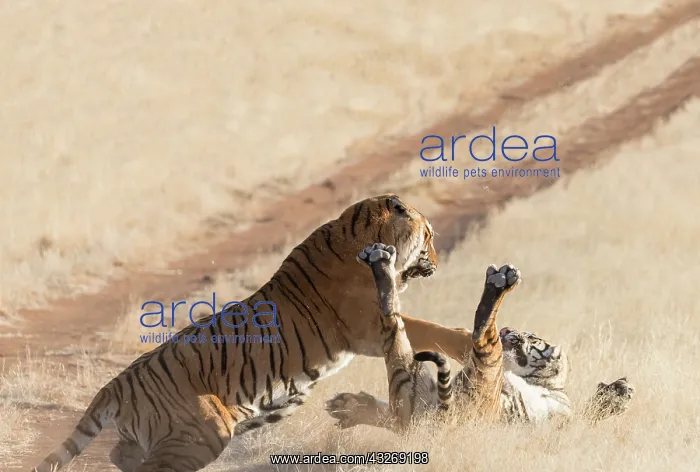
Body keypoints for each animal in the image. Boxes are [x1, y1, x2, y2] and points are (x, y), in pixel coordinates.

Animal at [33, 195, 482, 472]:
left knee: (120, 452)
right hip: (204, 433)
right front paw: (469, 341)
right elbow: (427, 328)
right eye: (429, 238)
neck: (358, 230)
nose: (437, 261)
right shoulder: (368, 326)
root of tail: (115, 384)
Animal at [325, 243, 635, 432]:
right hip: (409, 383)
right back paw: (380, 262)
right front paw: (352, 407)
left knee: (482, 335)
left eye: (531, 336)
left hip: (463, 379)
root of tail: (443, 420)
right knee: (392, 317)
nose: (509, 331)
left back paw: (499, 284)